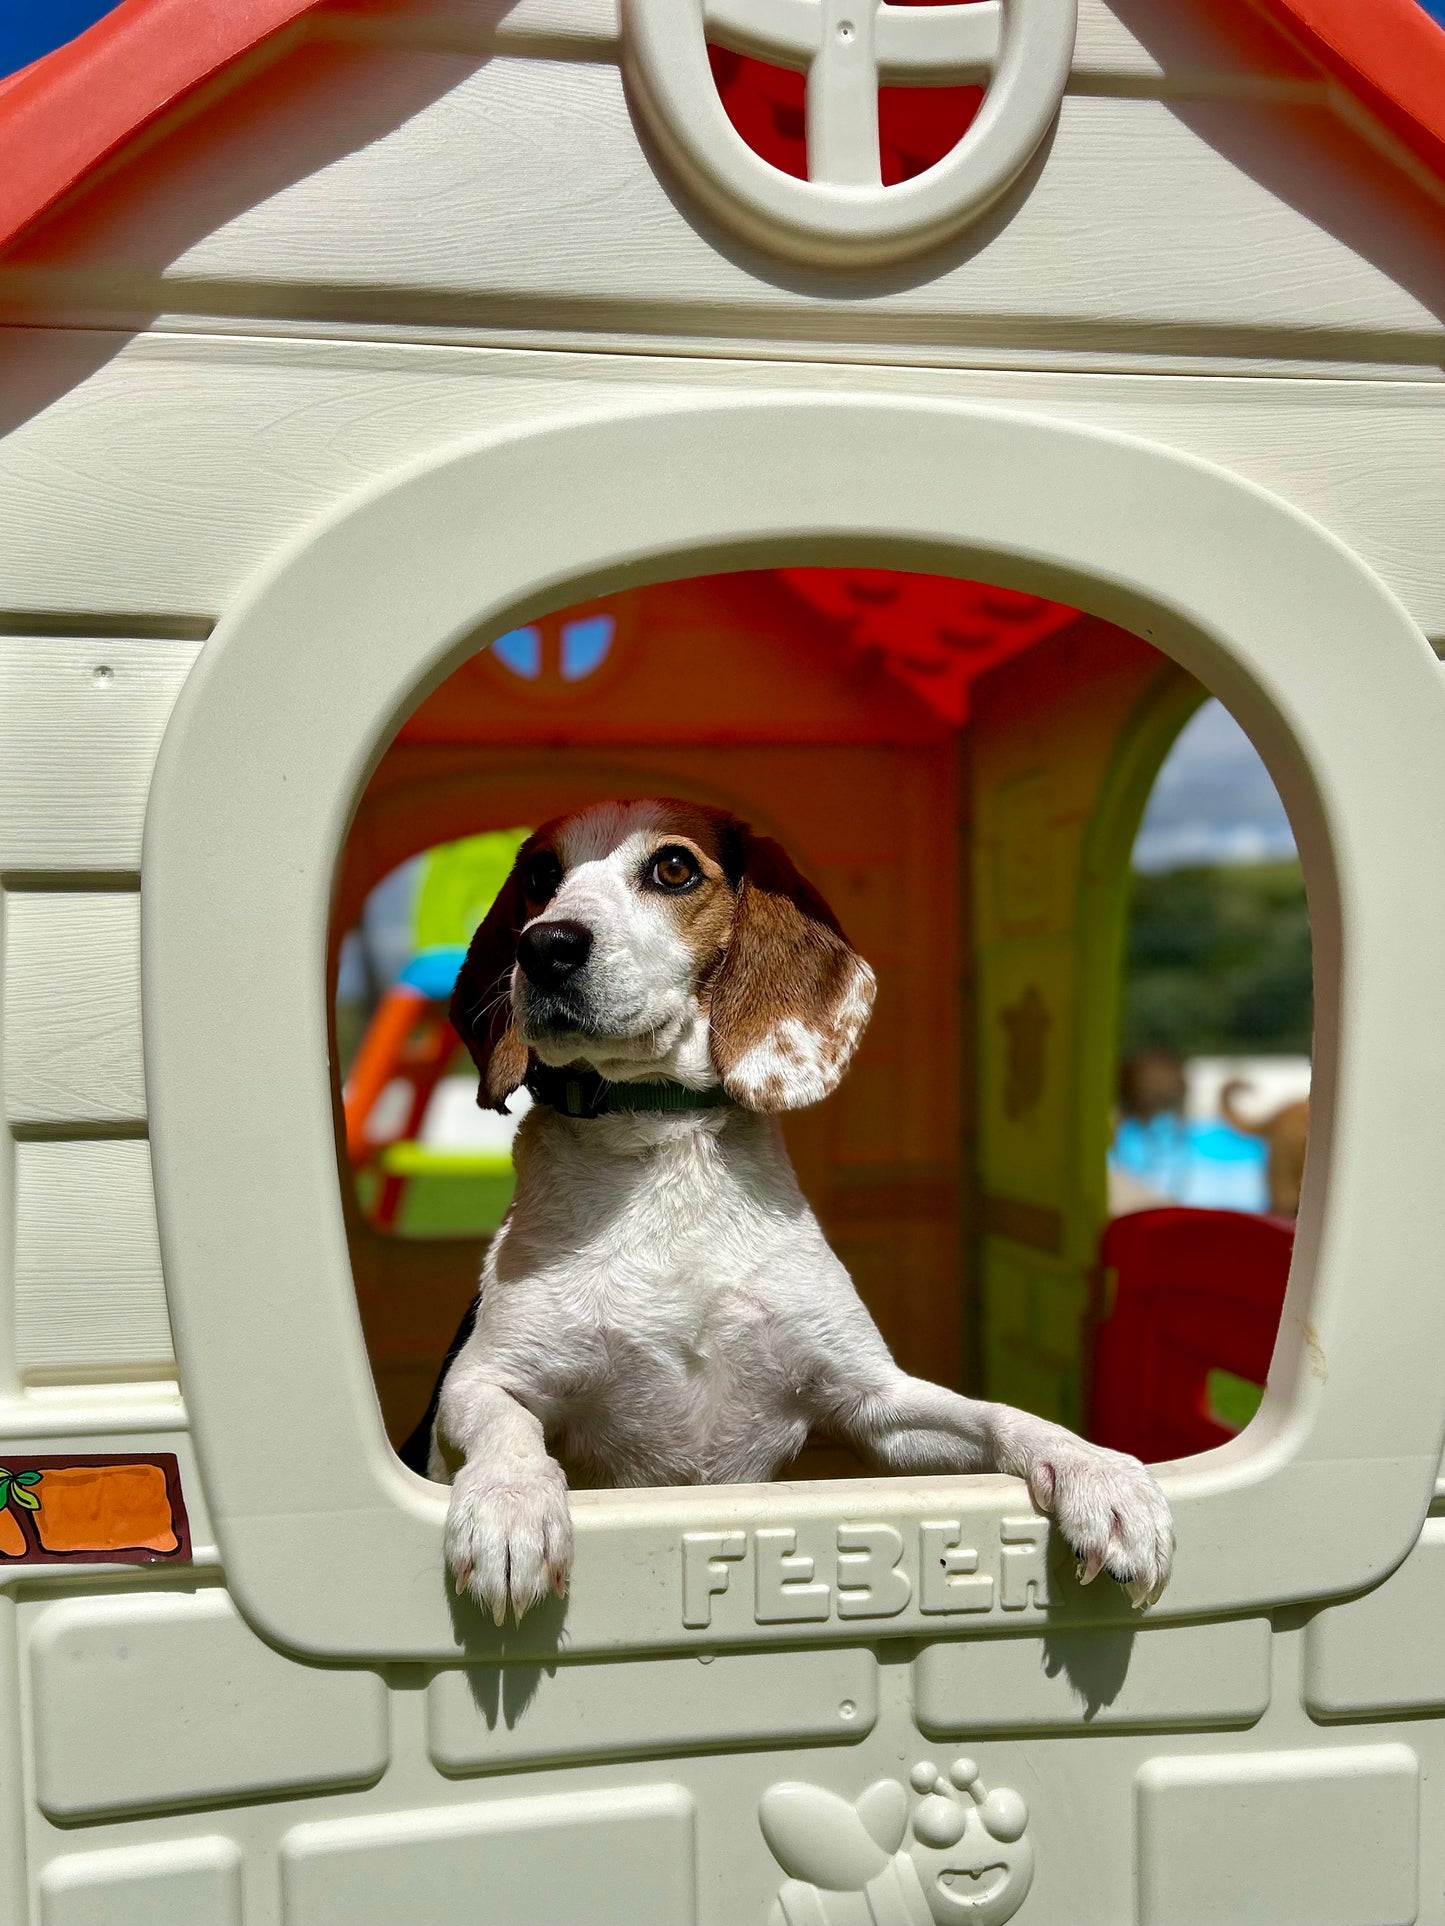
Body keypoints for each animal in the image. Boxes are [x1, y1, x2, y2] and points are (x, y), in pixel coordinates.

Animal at [410, 797, 1179, 1625]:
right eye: (538, 876)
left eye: (673, 868)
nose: (545, 946)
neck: (666, 1148)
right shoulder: (480, 1380)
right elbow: (508, 1429)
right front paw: (510, 1508)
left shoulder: (876, 1401)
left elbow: (1000, 1413)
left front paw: (1098, 1472)